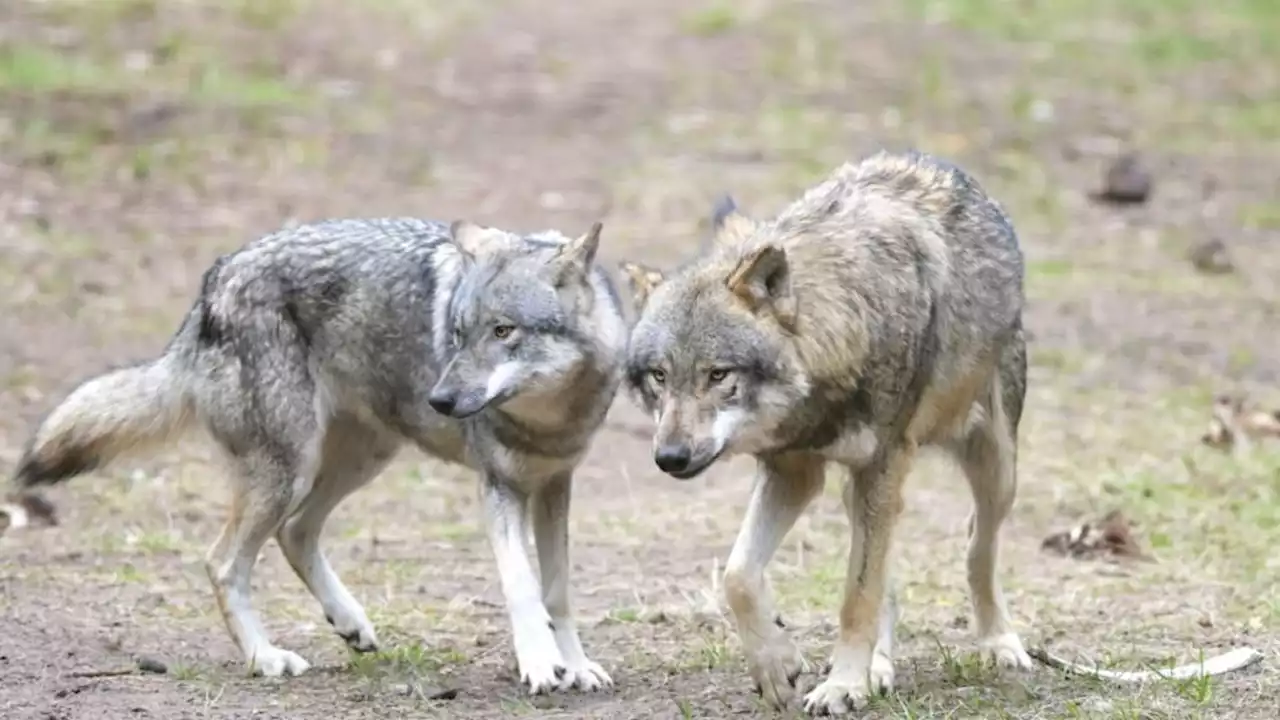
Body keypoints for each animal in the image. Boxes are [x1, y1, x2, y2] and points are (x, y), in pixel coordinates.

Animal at [12, 215, 627, 691]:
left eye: (503, 331)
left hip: (358, 461)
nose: (441, 399)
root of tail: (214, 281)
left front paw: (576, 666)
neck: (550, 418)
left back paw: (348, 622)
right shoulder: (499, 488)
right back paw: (265, 659)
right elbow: (522, 587)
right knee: (223, 560)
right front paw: (541, 665)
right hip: (290, 470)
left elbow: (557, 591)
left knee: (295, 533)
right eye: (456, 334)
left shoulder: (554, 486)